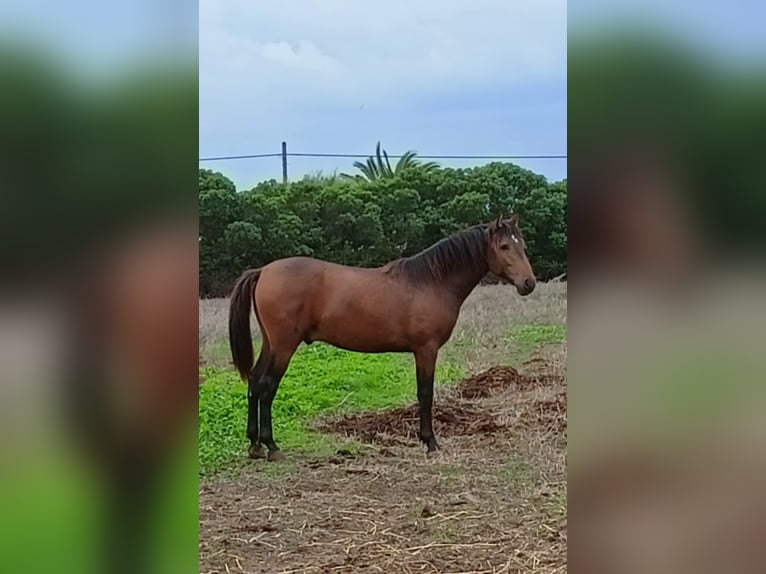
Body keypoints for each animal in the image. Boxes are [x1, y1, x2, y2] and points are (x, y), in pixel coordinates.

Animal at [231, 216, 536, 464]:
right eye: (504, 247)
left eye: (522, 245)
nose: (529, 283)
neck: (432, 281)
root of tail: (263, 271)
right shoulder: (426, 350)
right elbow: (425, 393)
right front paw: (430, 442)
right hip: (284, 346)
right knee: (267, 386)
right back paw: (271, 446)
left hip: (271, 344)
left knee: (255, 382)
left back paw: (254, 445)